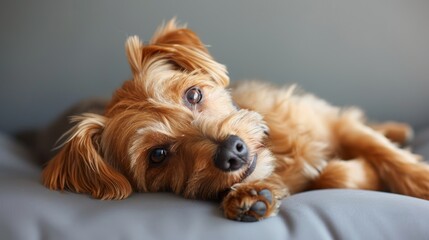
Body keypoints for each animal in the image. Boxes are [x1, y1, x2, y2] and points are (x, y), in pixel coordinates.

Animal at [41, 19, 428, 222]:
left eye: (193, 95)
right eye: (158, 155)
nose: (232, 150)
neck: (279, 154)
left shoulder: (333, 123)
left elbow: (381, 151)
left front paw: (419, 180)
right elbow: (333, 175)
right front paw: (254, 194)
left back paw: (399, 130)